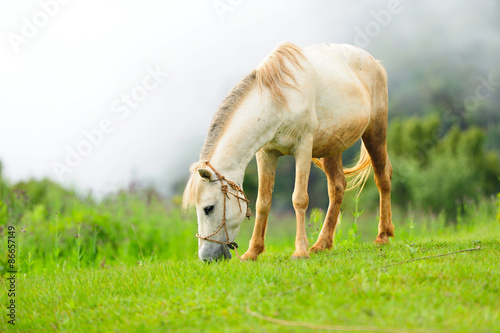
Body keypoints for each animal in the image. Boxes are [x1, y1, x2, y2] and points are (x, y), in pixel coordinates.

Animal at [184, 41, 394, 260]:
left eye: (208, 208)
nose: (207, 258)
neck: (278, 101)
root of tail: (374, 62)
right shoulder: (266, 154)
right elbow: (263, 202)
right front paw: (253, 252)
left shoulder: (303, 148)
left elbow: (299, 199)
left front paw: (300, 251)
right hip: (332, 147)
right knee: (337, 187)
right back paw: (322, 244)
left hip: (375, 132)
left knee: (382, 177)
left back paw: (383, 236)